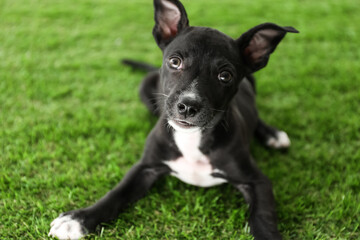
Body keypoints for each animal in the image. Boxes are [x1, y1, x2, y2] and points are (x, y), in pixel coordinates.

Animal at [48, 0, 298, 239]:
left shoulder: (257, 181)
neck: (192, 139)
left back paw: (273, 134)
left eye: (225, 76)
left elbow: (262, 218)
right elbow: (115, 195)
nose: (188, 106)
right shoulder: (144, 168)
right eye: (175, 62)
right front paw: (77, 220)